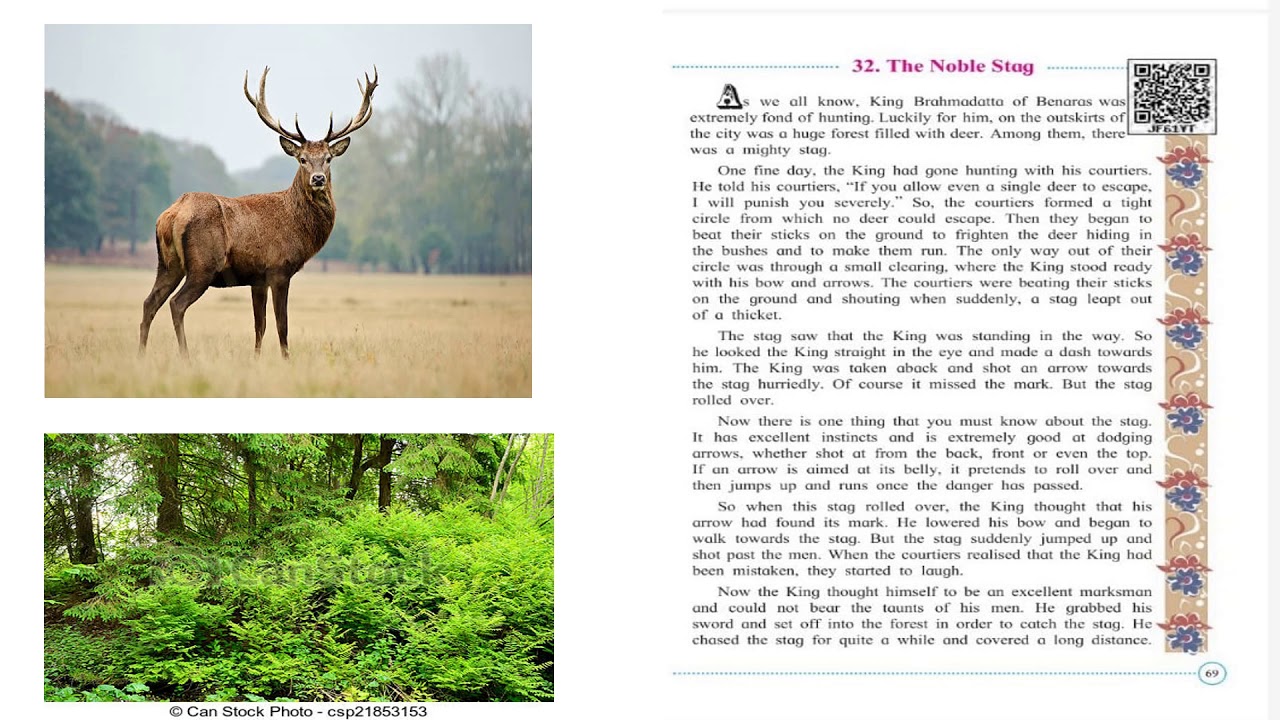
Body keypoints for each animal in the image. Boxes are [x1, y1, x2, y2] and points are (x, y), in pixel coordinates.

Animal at [138, 66, 377, 359]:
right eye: (302, 159)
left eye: (328, 158)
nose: (318, 179)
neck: (298, 227)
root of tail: (171, 215)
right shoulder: (279, 269)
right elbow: (282, 325)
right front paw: (286, 359)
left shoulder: (257, 278)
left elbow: (259, 325)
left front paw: (256, 358)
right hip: (203, 265)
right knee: (176, 304)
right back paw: (185, 356)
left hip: (168, 263)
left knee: (149, 303)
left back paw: (141, 355)